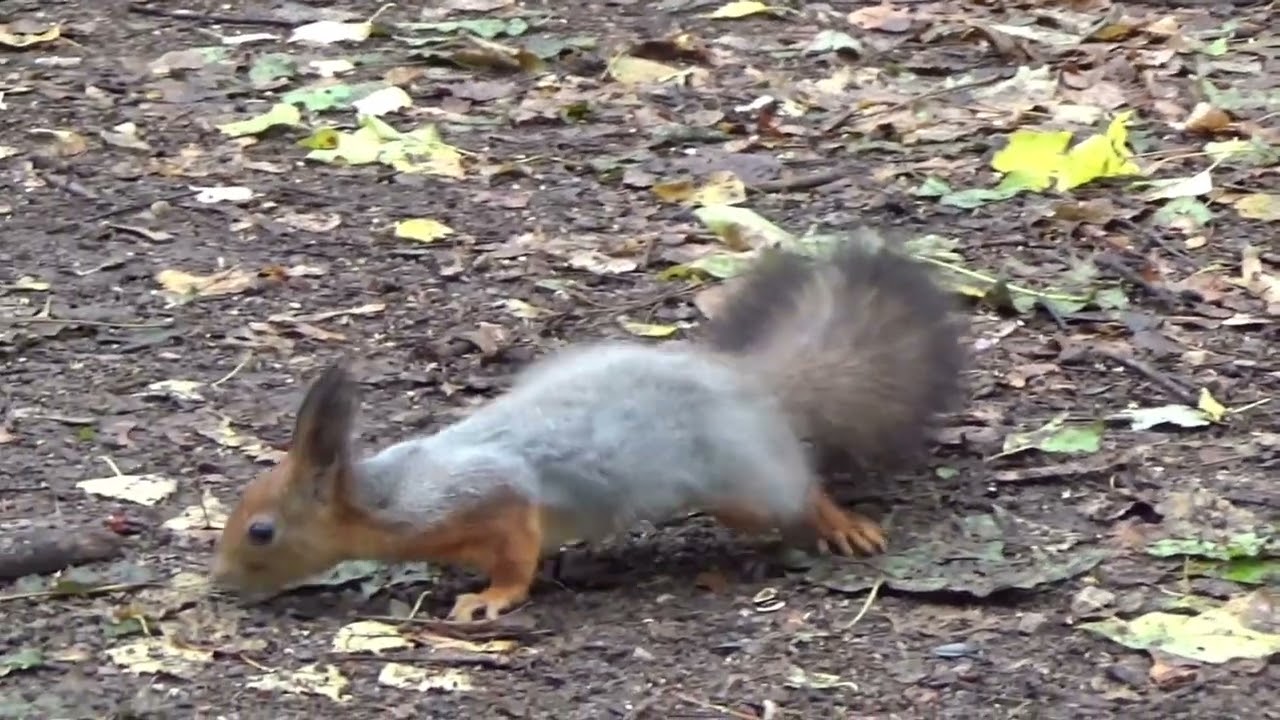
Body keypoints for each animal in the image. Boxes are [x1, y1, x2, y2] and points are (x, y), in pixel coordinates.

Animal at [209, 236, 965, 622]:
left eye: (262, 531)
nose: (220, 583)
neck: (387, 495)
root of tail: (749, 385)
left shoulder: (489, 497)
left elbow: (517, 551)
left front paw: (491, 598)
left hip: (745, 485)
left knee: (799, 492)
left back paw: (842, 524)